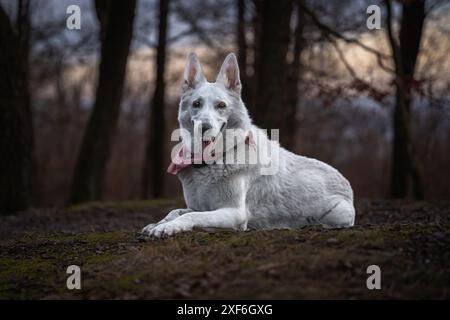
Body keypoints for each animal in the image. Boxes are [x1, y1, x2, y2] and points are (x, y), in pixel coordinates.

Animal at [142, 53, 356, 238]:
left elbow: (190, 216)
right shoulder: (197, 206)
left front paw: (168, 228)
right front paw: (158, 224)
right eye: (196, 104)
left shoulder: (234, 213)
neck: (214, 160)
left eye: (221, 105)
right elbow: (175, 211)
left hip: (338, 213)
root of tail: (347, 184)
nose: (204, 127)